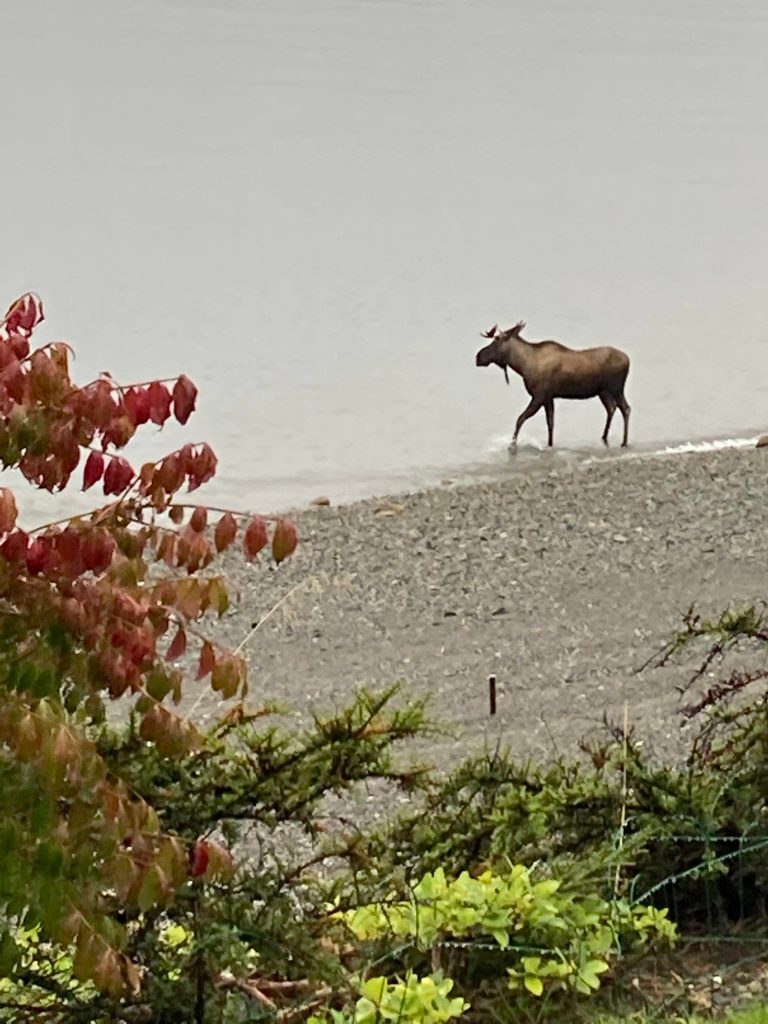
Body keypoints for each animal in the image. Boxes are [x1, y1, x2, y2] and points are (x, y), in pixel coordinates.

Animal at [475, 320, 631, 448]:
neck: (522, 366)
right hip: (603, 392)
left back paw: (624, 442)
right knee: (611, 408)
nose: (478, 357)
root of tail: (628, 360)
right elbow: (550, 423)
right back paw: (604, 437)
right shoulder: (548, 398)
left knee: (626, 409)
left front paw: (512, 445)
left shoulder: (538, 396)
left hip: (616, 388)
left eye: (497, 340)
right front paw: (550, 445)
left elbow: (520, 419)